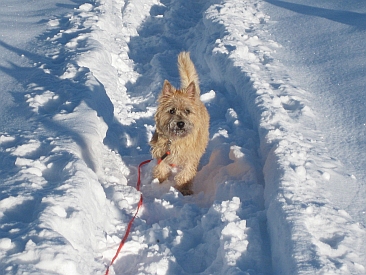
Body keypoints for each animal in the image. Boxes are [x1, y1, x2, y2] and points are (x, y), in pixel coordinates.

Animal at [150, 50, 210, 195]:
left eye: (187, 111)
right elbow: (161, 169)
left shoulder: (191, 157)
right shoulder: (161, 154)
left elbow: (186, 174)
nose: (181, 123)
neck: (175, 139)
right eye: (171, 110)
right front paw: (160, 183)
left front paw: (184, 189)